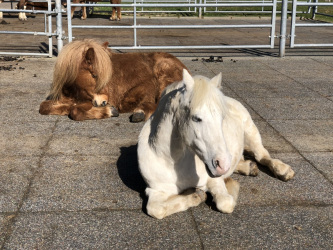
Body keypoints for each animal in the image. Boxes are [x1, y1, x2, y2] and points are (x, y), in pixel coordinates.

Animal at [39, 39, 187, 122]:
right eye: (94, 75)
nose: (105, 101)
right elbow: (44, 107)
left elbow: (75, 111)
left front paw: (109, 111)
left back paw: (140, 112)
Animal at [136, 69, 294, 219]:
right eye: (196, 118)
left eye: (222, 117)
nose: (222, 164)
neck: (172, 161)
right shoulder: (156, 191)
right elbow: (156, 209)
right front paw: (195, 195)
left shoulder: (214, 180)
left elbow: (225, 203)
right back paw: (248, 167)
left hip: (251, 130)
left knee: (262, 155)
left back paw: (283, 170)